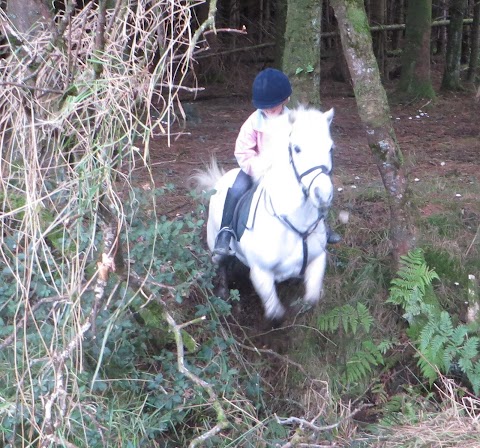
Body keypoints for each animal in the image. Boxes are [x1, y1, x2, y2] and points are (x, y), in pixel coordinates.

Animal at [195, 107, 334, 324]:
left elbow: (311, 299)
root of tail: (221, 179)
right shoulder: (261, 273)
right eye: (297, 149)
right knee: (221, 264)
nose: (323, 194)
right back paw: (223, 294)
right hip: (215, 244)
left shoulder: (318, 260)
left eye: (330, 149)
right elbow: (275, 312)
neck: (295, 225)